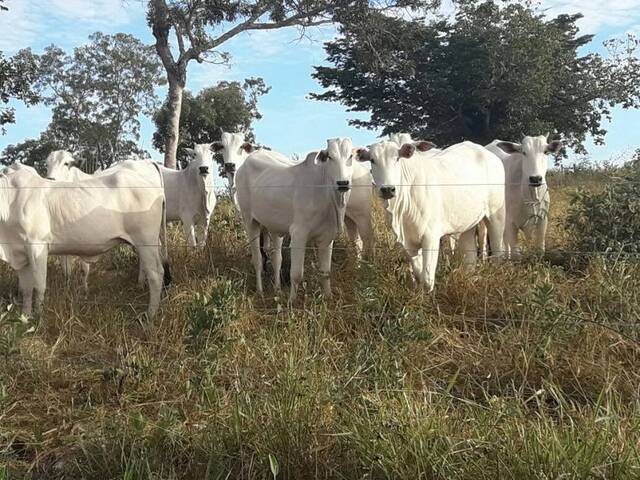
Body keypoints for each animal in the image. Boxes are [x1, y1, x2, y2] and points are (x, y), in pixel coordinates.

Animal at [0, 161, 170, 318]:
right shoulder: (19, 251)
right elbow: (26, 289)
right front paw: (25, 316)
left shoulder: (37, 246)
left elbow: (39, 285)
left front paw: (39, 318)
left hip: (146, 240)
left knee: (156, 273)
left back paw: (150, 315)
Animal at [215, 130, 376, 258]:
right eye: (222, 146)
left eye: (241, 146)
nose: (230, 165)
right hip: (349, 219)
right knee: (356, 242)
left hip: (362, 216)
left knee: (367, 240)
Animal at [236, 137, 360, 302]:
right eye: (330, 157)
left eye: (350, 156)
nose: (343, 183)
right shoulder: (298, 234)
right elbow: (296, 274)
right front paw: (291, 302)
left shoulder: (327, 237)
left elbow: (325, 272)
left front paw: (328, 297)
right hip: (249, 220)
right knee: (257, 260)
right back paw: (260, 291)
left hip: (274, 227)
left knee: (277, 259)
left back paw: (277, 289)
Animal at [358, 139, 502, 288]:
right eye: (372, 160)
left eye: (397, 158)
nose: (387, 189)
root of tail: (487, 153)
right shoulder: (408, 242)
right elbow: (418, 274)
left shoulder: (431, 237)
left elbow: (427, 279)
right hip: (467, 223)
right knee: (470, 255)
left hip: (496, 216)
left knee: (497, 250)